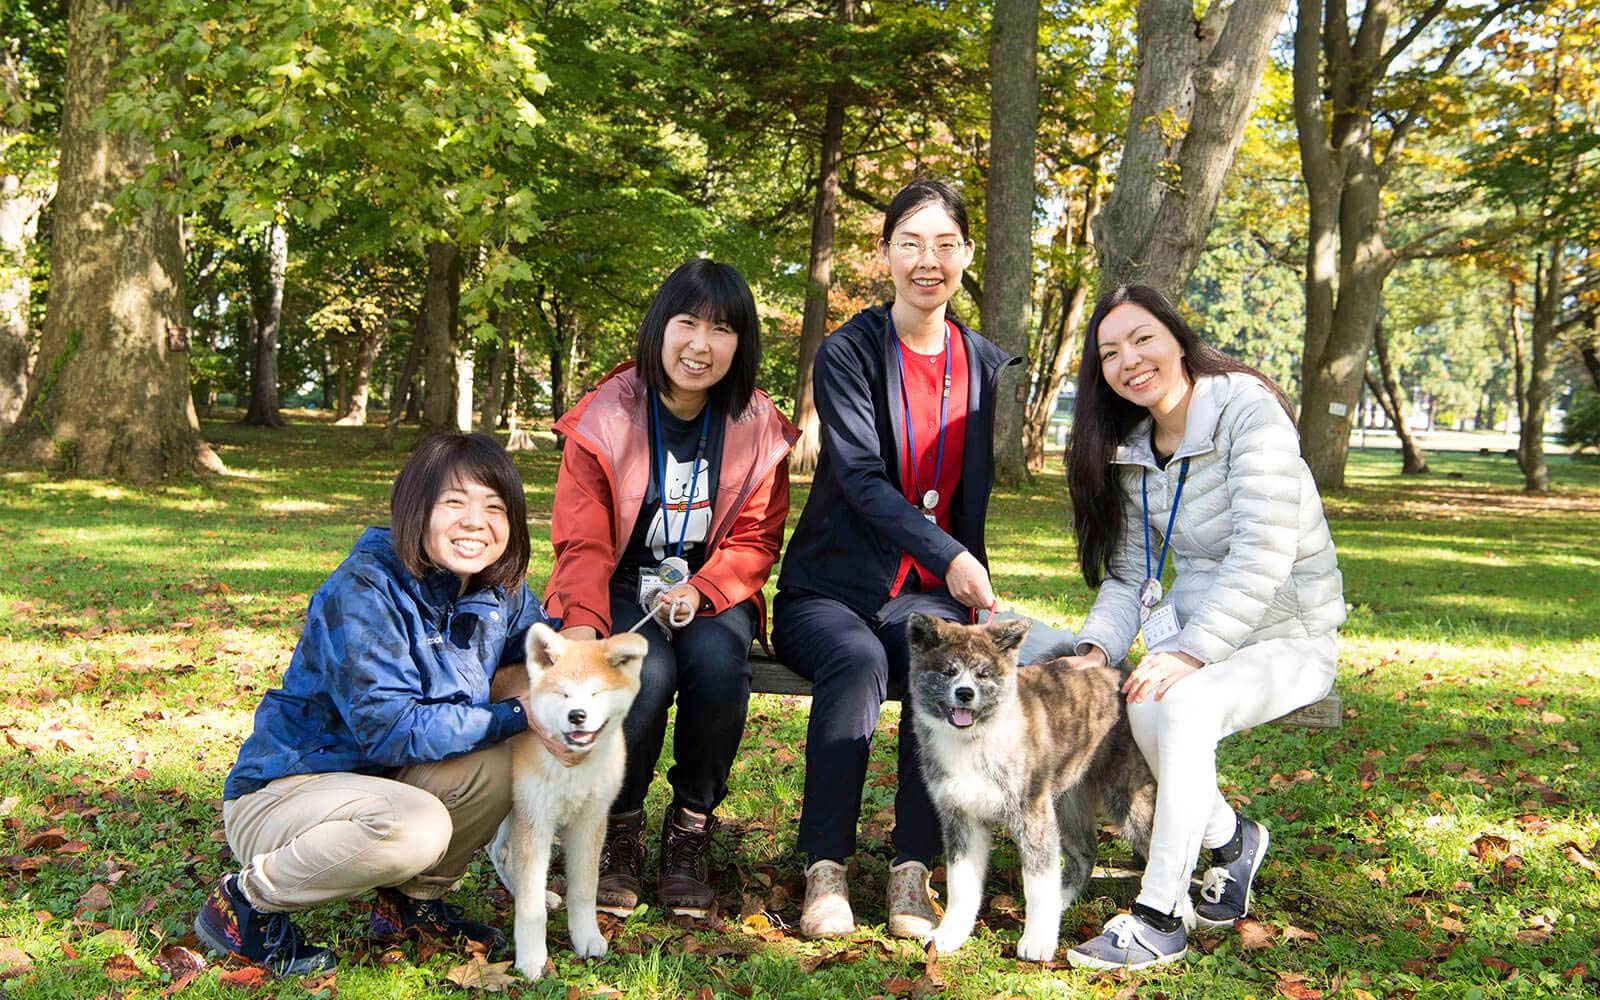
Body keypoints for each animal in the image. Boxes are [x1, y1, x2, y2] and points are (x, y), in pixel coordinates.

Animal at [908, 608, 1158, 960]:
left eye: (983, 674)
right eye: (948, 672)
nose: (965, 694)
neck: (975, 740)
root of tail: (1122, 673)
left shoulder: (1032, 816)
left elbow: (1037, 885)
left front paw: (1038, 941)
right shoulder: (961, 818)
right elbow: (962, 885)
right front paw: (951, 934)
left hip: (1125, 800)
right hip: (1067, 802)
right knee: (1085, 853)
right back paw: (1062, 899)